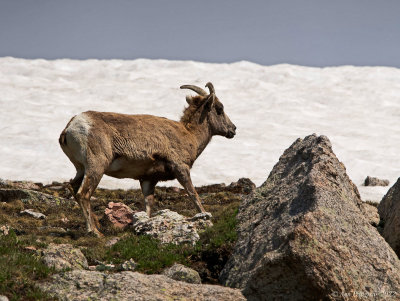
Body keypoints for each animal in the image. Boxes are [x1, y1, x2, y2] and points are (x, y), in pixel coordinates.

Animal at [58, 81, 234, 234]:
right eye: (219, 108)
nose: (233, 129)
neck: (189, 135)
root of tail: (70, 128)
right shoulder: (181, 168)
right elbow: (194, 195)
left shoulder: (148, 180)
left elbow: (148, 206)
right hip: (96, 167)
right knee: (83, 194)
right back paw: (94, 232)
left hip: (81, 169)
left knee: (73, 186)